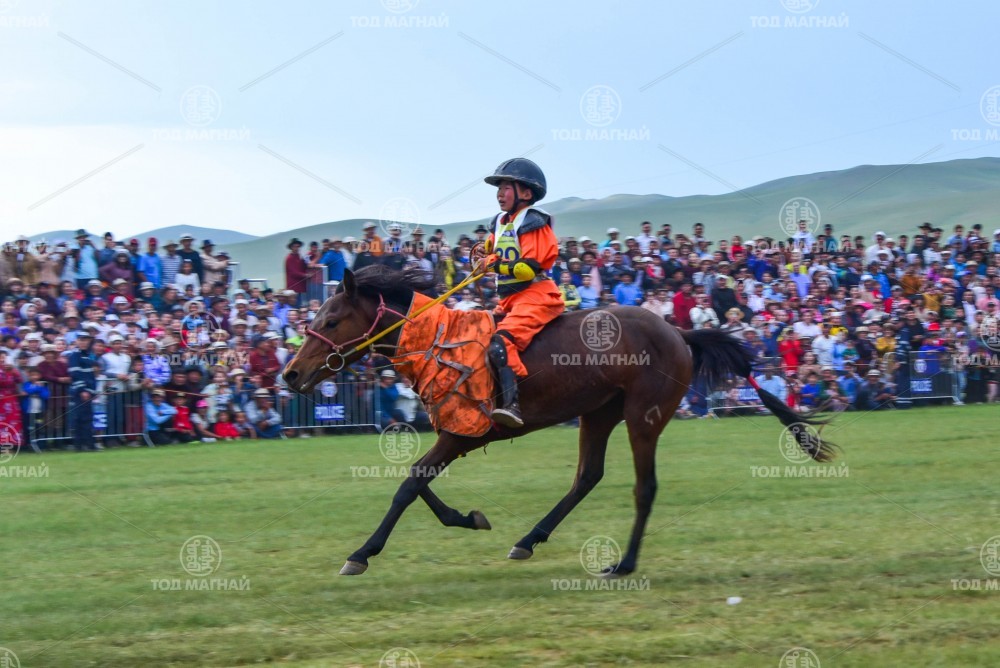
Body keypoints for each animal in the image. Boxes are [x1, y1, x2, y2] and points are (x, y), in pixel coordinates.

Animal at [282, 265, 836, 576]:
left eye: (332, 320)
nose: (291, 373)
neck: (439, 340)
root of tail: (680, 333)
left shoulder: (462, 432)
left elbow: (408, 484)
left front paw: (361, 553)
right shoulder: (457, 434)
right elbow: (418, 485)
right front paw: (469, 517)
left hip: (643, 416)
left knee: (644, 487)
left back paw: (623, 564)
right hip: (598, 413)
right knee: (587, 477)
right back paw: (529, 540)